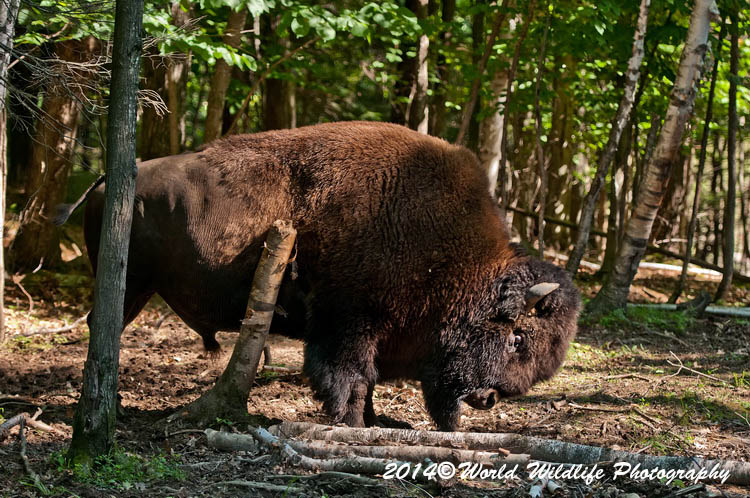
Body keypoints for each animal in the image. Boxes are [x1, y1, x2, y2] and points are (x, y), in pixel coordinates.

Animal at [69, 121, 580, 431]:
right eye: (517, 338)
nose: (489, 398)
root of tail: (103, 182)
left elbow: (368, 379)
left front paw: (372, 421)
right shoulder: (348, 324)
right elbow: (350, 376)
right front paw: (350, 423)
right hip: (132, 285)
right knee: (105, 328)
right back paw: (113, 407)